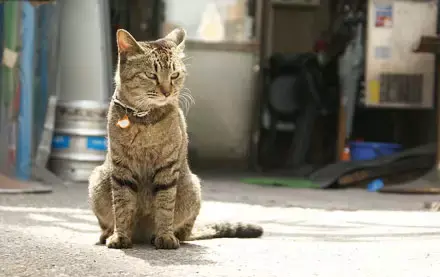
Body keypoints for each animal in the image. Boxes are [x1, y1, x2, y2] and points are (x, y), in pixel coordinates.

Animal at [87, 27, 262, 249]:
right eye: (151, 75)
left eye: (175, 74)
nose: (166, 91)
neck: (145, 119)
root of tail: (141, 234)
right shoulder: (121, 168)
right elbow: (122, 205)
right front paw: (120, 236)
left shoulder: (167, 167)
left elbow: (164, 205)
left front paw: (165, 236)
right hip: (98, 180)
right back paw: (108, 234)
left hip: (192, 187)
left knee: (184, 231)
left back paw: (167, 235)